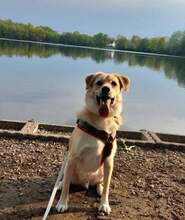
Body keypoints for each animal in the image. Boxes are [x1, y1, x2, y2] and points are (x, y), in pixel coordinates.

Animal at [55, 72, 129, 215]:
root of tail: (86, 182)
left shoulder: (108, 161)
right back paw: (60, 184)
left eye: (113, 83)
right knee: (66, 180)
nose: (106, 89)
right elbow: (66, 186)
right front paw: (62, 203)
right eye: (99, 82)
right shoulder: (72, 157)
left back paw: (99, 188)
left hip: (101, 171)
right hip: (67, 165)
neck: (102, 120)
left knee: (100, 183)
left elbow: (107, 187)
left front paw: (104, 204)